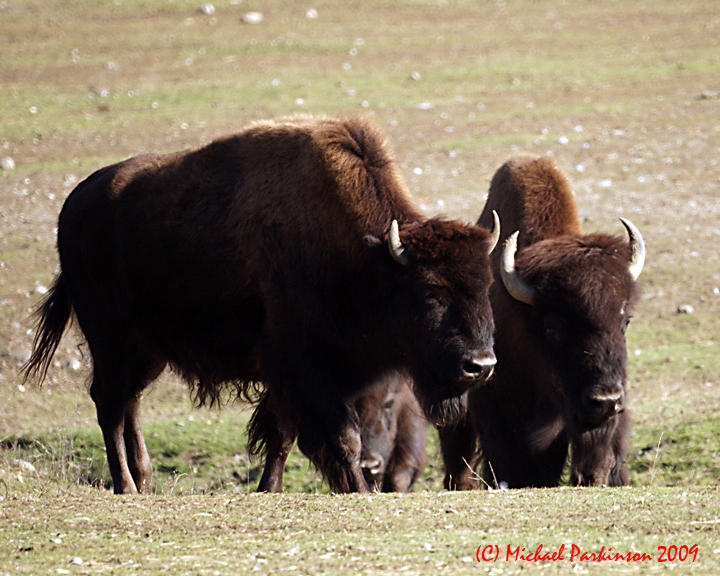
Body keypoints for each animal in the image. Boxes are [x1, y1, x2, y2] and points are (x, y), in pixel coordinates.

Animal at [26, 115, 500, 492]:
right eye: (431, 292)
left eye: (486, 286)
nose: (480, 366)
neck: (367, 259)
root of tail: (74, 204)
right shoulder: (302, 367)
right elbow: (341, 436)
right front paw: (360, 490)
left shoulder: (293, 377)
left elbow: (283, 436)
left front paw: (269, 488)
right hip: (108, 337)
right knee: (108, 403)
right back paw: (126, 485)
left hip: (148, 351)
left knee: (130, 403)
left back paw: (143, 479)